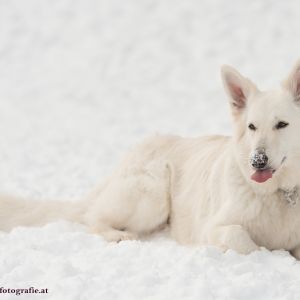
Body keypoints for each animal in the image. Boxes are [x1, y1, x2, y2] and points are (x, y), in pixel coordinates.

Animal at [1, 60, 300, 258]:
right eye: (252, 127)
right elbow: (244, 239)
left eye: (282, 124)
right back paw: (120, 235)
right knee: (93, 218)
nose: (257, 161)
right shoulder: (213, 228)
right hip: (153, 193)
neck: (281, 194)